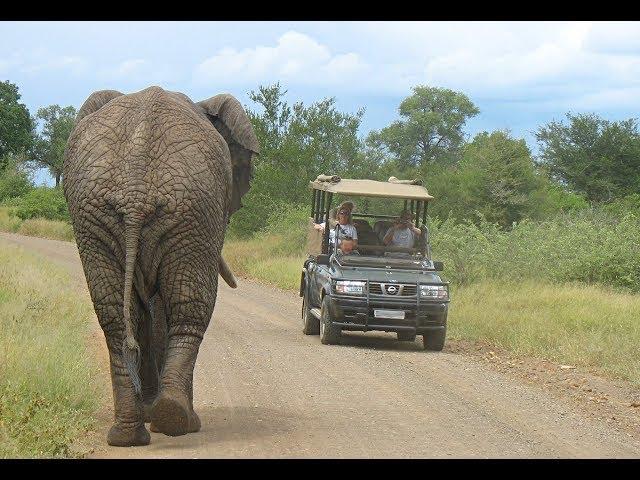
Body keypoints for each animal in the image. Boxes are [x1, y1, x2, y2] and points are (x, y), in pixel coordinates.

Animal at [62, 85, 258, 446]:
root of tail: (135, 188)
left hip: (100, 213)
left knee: (115, 316)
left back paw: (130, 434)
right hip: (192, 212)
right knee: (189, 306)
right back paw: (177, 421)